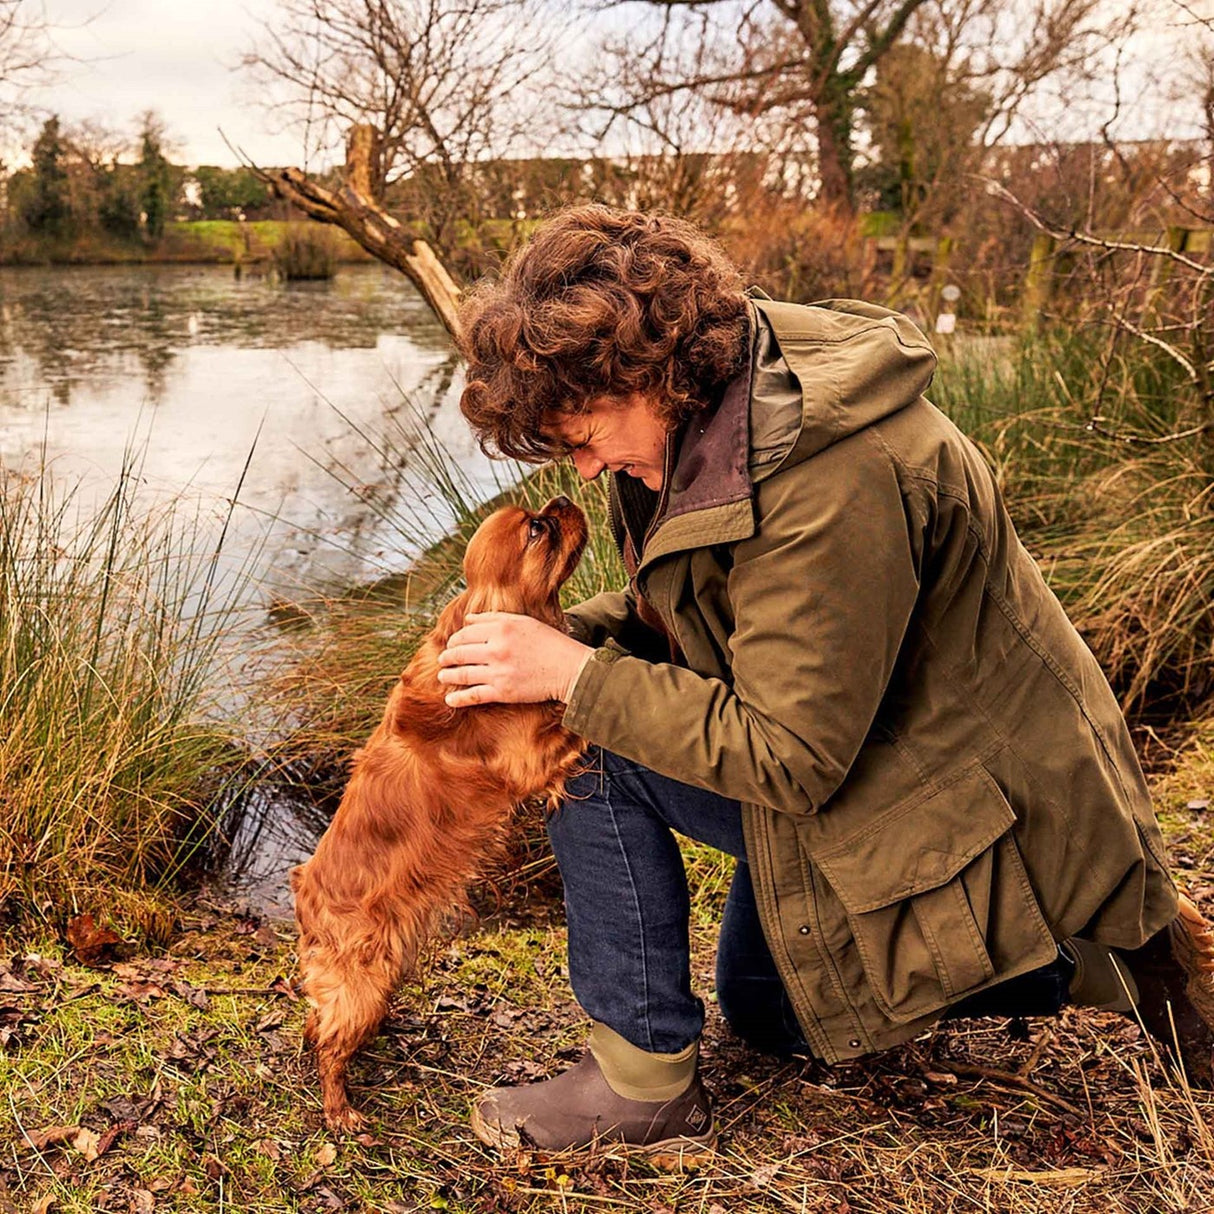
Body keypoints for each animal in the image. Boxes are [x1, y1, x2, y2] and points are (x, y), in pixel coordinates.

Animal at [286, 492, 585, 1126]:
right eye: (538, 530)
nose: (562, 499)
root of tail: (304, 892)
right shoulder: (531, 759)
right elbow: (573, 720)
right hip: (364, 979)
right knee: (328, 1045)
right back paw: (341, 1112)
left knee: (316, 1024)